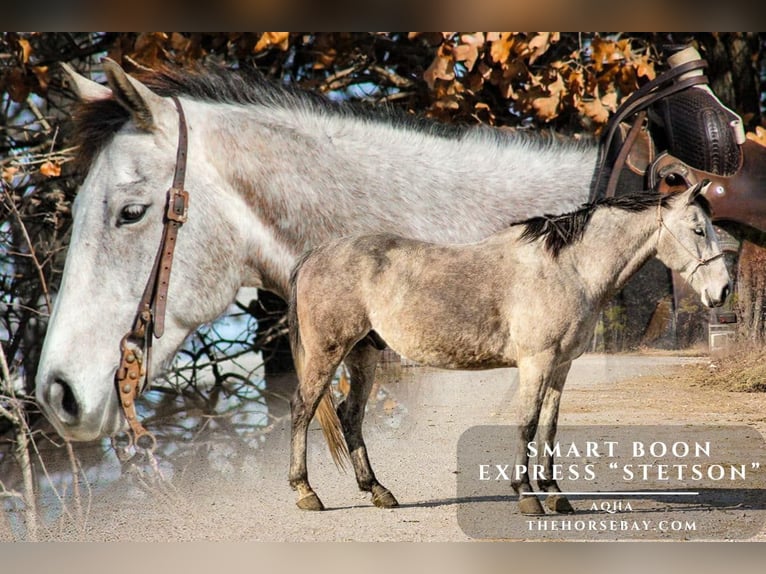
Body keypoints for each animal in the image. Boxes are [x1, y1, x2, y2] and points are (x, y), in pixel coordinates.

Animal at [287, 183, 730, 514]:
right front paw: (526, 495)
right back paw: (306, 492)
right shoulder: (537, 361)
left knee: (350, 416)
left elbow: (550, 427)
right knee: (303, 408)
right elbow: (528, 423)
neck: (567, 268)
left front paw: (554, 494)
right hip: (329, 352)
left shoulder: (561, 365)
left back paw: (378, 490)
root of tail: (316, 254)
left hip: (363, 353)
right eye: (697, 229)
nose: (723, 290)